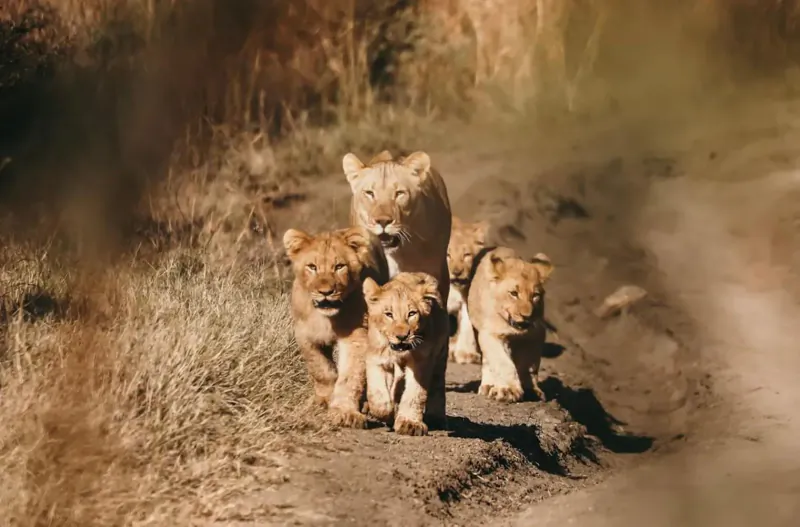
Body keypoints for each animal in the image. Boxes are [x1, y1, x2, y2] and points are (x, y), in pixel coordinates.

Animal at [283, 226, 389, 428]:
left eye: (339, 266)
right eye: (312, 267)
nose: (326, 292)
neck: (327, 319)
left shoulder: (356, 336)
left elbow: (350, 377)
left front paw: (344, 412)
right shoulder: (304, 335)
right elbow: (321, 370)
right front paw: (325, 398)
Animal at [362, 272, 448, 436]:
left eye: (412, 314)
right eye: (388, 314)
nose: (402, 336)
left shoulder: (422, 362)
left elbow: (415, 394)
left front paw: (410, 423)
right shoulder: (376, 358)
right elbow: (377, 391)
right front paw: (384, 412)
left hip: (440, 355)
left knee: (438, 382)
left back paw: (436, 416)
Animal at [447, 216, 489, 364]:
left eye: (466, 255)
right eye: (447, 254)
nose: (457, 272)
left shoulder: (466, 301)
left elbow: (466, 327)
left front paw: (465, 354)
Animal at [467, 246, 554, 403]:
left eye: (535, 295)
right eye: (513, 293)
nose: (526, 316)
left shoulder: (535, 335)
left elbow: (529, 366)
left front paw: (531, 390)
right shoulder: (491, 334)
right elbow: (503, 363)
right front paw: (509, 390)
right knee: (488, 360)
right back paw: (489, 385)